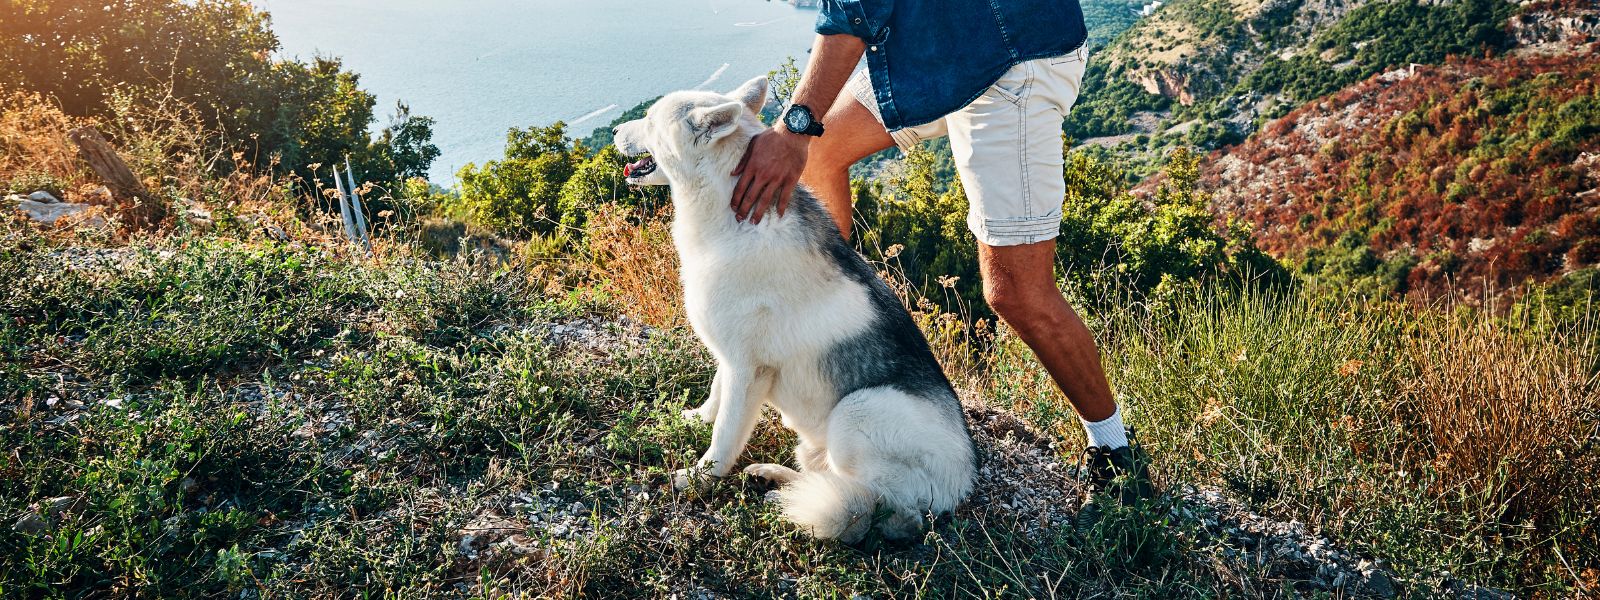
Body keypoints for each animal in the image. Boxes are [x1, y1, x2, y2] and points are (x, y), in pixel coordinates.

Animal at [608, 76, 972, 544]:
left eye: (651, 120)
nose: (614, 132)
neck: (724, 210)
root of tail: (961, 485)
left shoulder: (748, 369)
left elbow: (725, 435)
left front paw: (700, 477)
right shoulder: (731, 359)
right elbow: (716, 398)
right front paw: (695, 419)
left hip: (857, 412)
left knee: (875, 505)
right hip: (820, 442)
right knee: (827, 478)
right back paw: (775, 480)